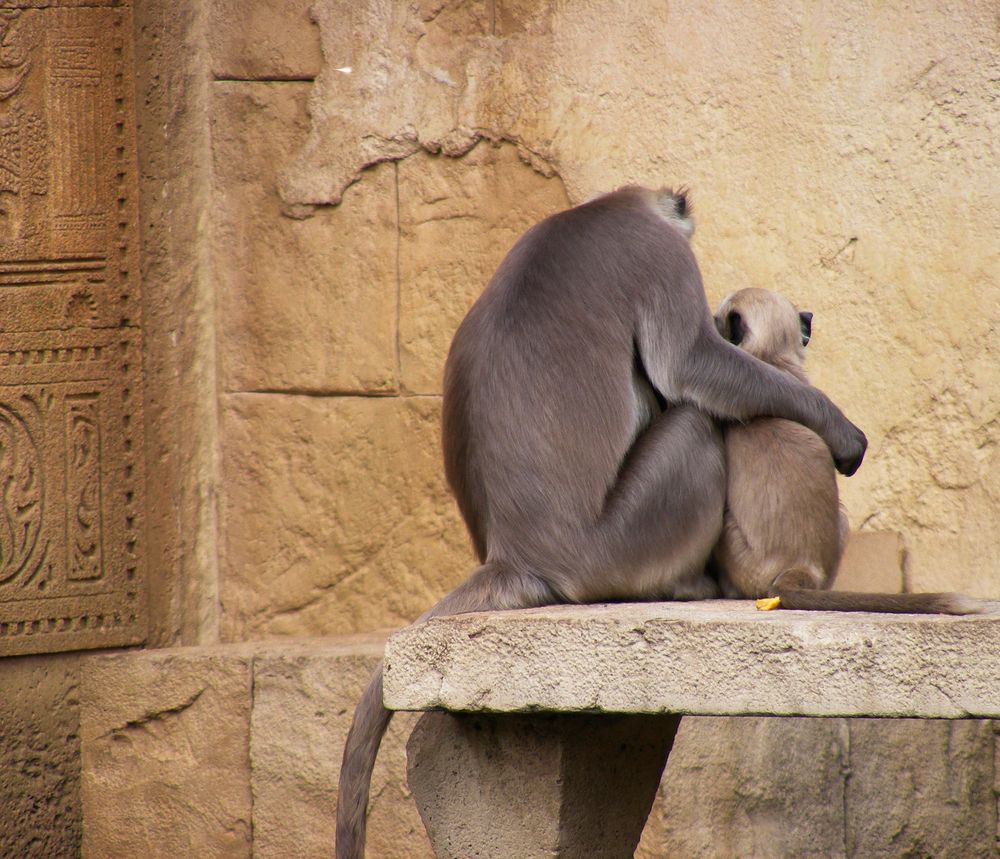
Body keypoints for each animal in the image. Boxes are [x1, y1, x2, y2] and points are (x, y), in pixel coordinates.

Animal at [336, 185, 868, 856]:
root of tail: (515, 554)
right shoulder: (657, 252)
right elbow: (691, 366)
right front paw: (839, 429)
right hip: (627, 539)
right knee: (696, 419)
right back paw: (688, 582)